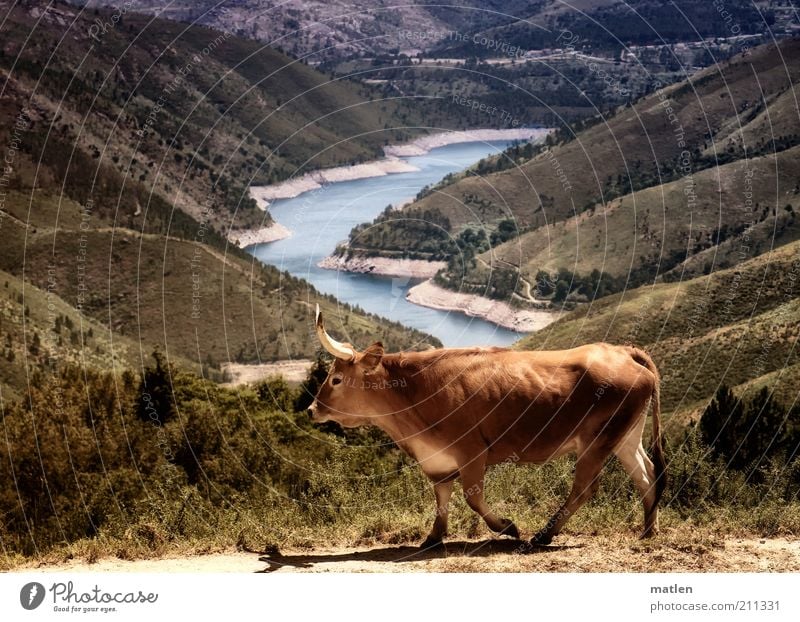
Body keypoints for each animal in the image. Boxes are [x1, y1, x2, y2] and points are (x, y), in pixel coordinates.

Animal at [310, 306, 664, 544]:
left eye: (337, 379)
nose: (313, 409)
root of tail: (622, 351)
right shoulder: (437, 460)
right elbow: (441, 497)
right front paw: (434, 537)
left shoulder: (472, 453)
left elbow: (473, 498)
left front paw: (508, 527)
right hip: (625, 437)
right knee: (647, 476)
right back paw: (648, 530)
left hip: (597, 440)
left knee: (585, 488)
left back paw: (545, 534)